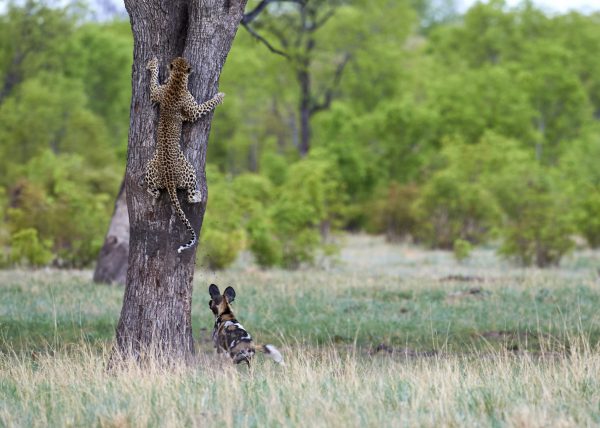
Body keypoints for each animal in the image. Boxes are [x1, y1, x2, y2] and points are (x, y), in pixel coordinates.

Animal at [145, 55, 225, 252]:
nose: (182, 58)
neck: (177, 80)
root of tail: (169, 180)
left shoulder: (157, 93)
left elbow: (153, 84)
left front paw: (152, 65)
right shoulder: (193, 111)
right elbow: (206, 105)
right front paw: (219, 96)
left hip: (149, 167)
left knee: (153, 191)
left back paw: (153, 193)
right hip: (190, 170)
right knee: (189, 197)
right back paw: (197, 196)